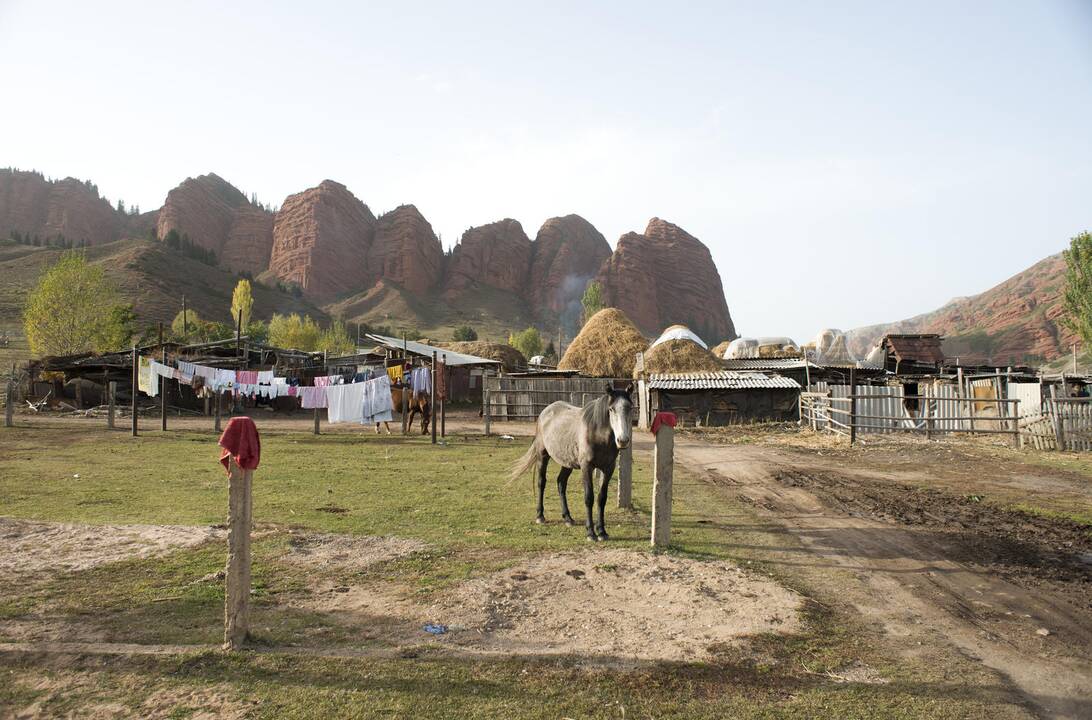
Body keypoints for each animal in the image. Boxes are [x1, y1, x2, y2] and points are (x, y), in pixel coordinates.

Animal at [508, 382, 633, 541]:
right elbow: (589, 498)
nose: (622, 441)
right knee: (541, 482)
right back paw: (540, 516)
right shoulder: (587, 467)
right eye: (611, 409)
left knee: (561, 483)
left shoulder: (608, 468)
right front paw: (591, 533)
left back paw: (568, 518)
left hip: (567, 463)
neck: (597, 434)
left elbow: (601, 498)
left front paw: (602, 531)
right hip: (543, 456)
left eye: (630, 408)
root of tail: (545, 412)